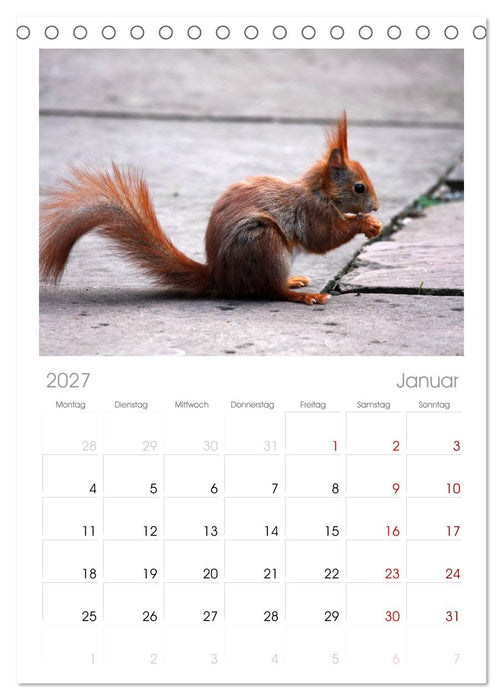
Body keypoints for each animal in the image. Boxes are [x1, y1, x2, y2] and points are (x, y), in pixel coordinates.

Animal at [40, 112, 382, 305]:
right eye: (359, 187)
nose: (377, 207)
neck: (318, 191)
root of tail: (220, 277)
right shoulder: (311, 212)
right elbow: (323, 237)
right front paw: (365, 224)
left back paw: (293, 281)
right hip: (263, 242)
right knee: (270, 292)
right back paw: (300, 295)